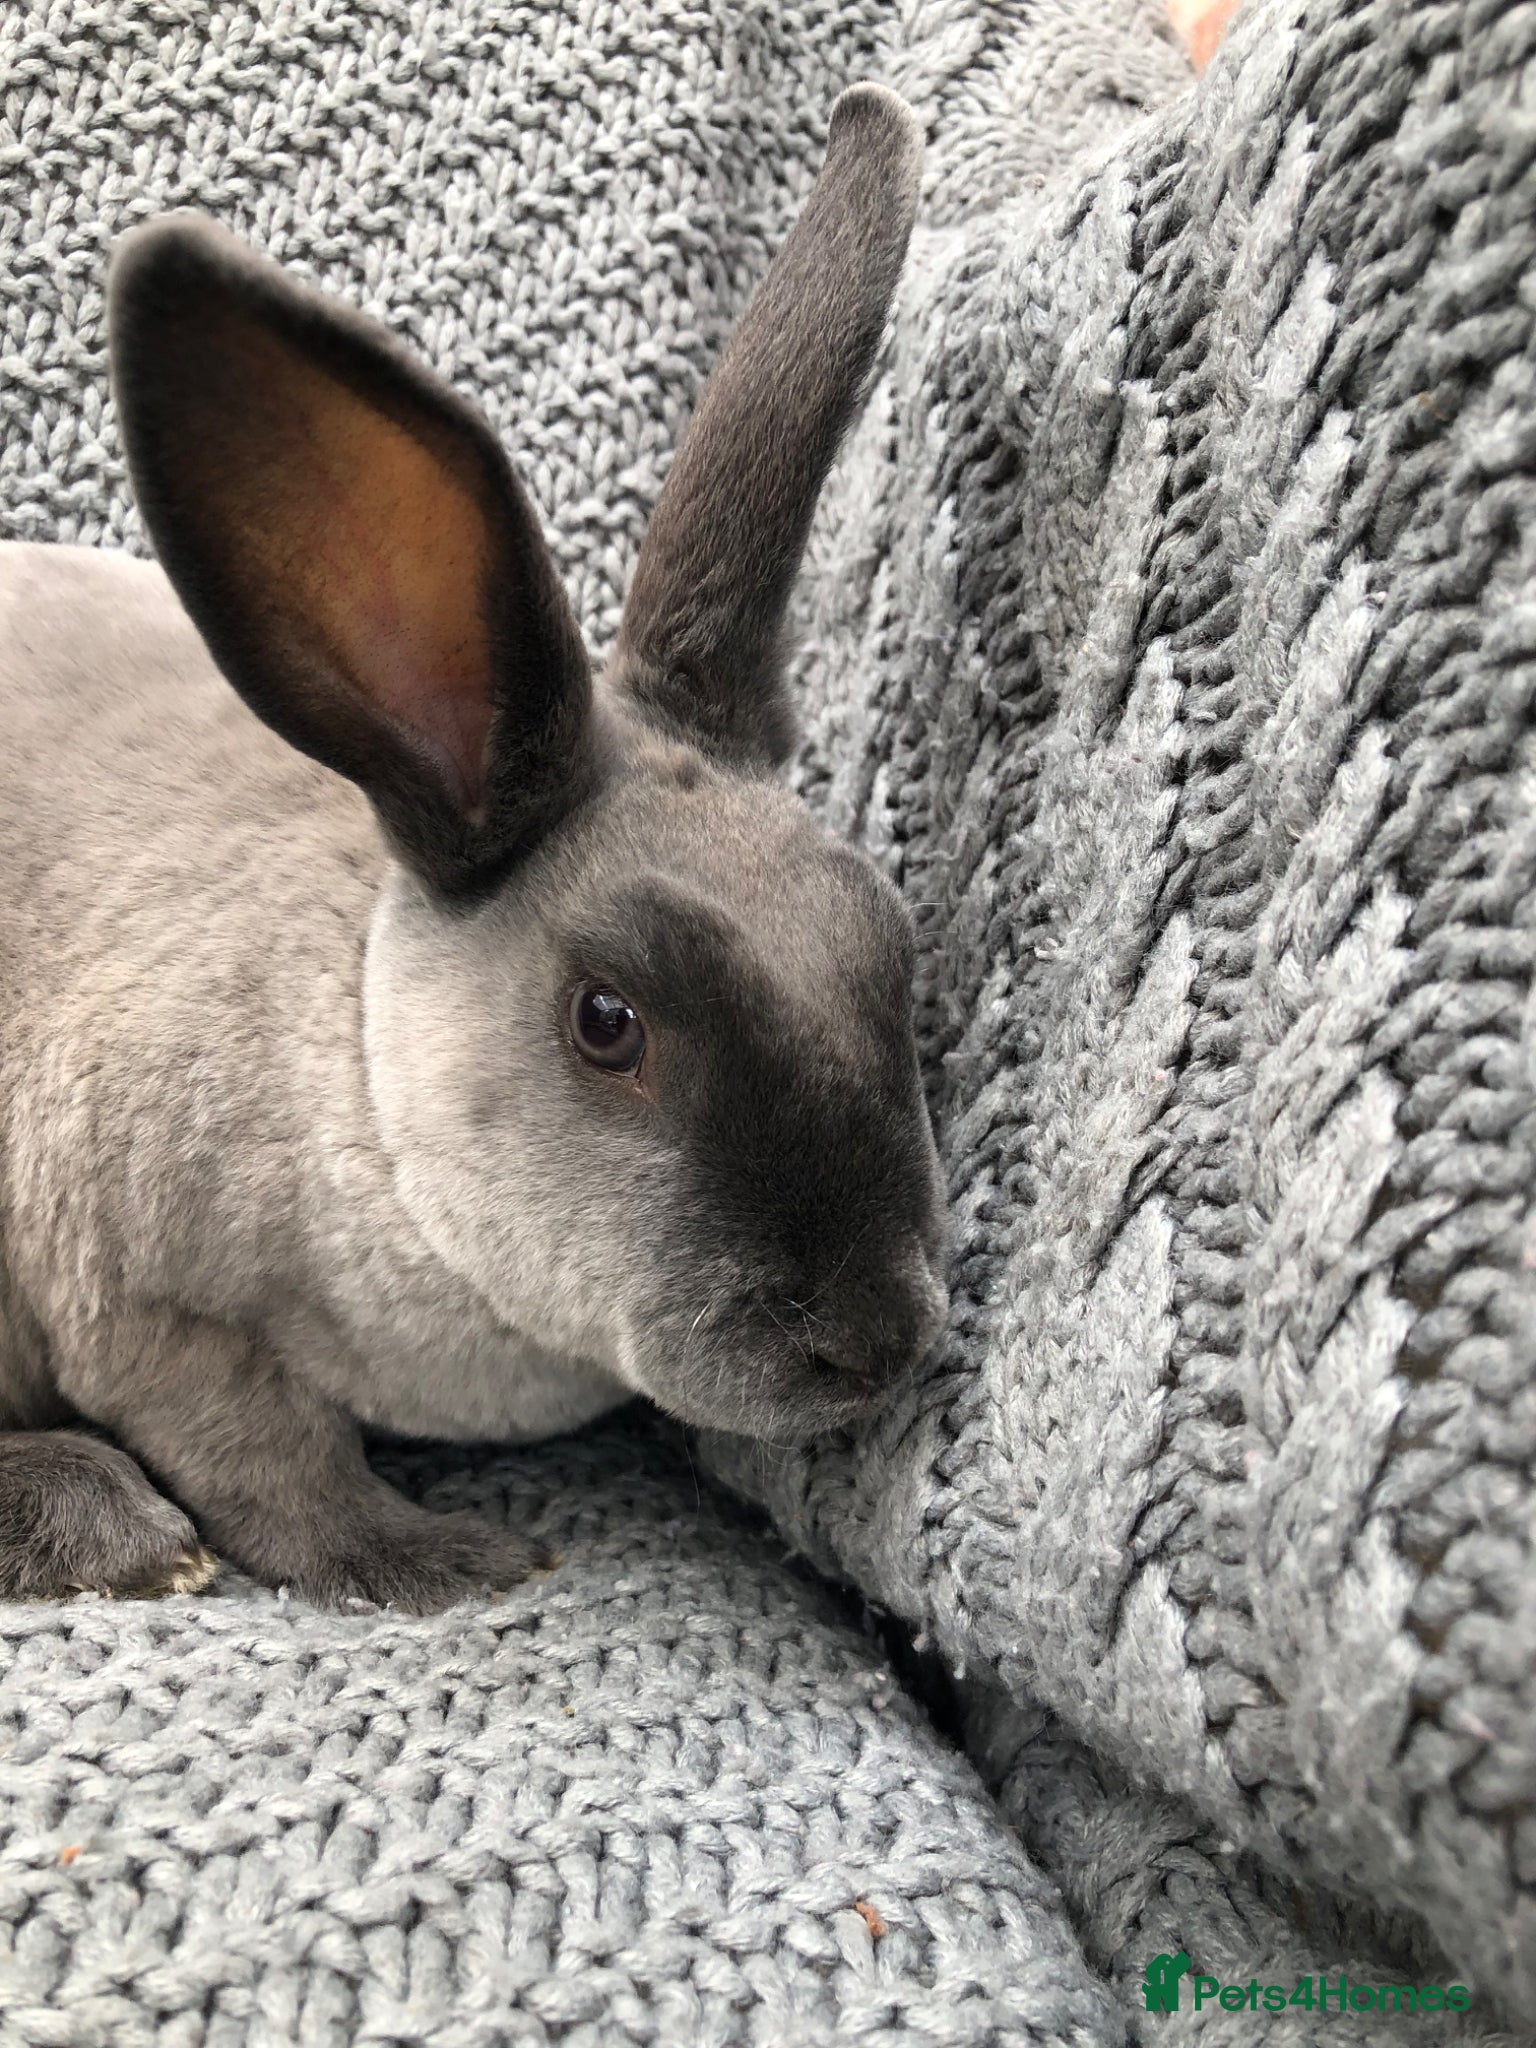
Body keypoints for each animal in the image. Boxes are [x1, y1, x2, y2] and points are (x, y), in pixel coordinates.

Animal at [0, 84, 946, 1613]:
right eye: (607, 1021)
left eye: (890, 950)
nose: (876, 1342)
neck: (365, 1071)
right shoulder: (144, 1301)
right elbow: (269, 1465)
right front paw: (444, 1560)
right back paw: (107, 1526)